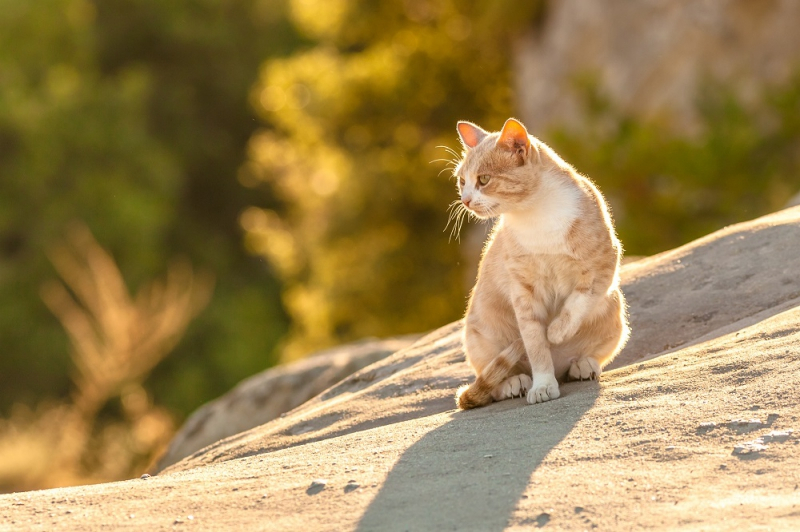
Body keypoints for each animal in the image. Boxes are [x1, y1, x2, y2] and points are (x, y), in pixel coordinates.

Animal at [450, 117, 632, 408]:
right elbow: (536, 345)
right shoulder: (524, 291)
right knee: (493, 381)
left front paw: (557, 331)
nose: (465, 200)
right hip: (480, 336)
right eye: (461, 181)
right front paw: (543, 385)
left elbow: (579, 301)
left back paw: (583, 365)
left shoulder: (603, 264)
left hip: (614, 308)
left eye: (484, 179)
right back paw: (515, 382)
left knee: (591, 356)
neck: (535, 215)